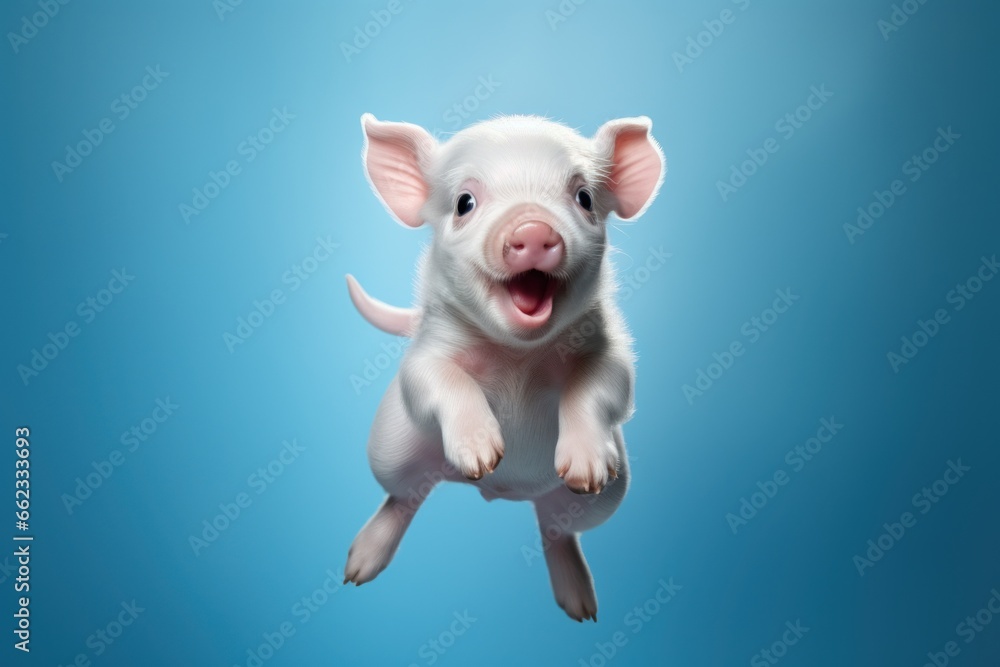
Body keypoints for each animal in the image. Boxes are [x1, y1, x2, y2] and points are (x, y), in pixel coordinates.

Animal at [343, 113, 665, 622]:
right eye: (465, 203)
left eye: (583, 198)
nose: (532, 228)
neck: (517, 355)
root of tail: (506, 494)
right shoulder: (427, 352)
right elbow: (437, 378)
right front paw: (481, 455)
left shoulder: (611, 351)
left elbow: (602, 383)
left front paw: (587, 471)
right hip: (389, 449)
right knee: (402, 495)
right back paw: (357, 569)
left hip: (610, 499)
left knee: (559, 529)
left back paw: (581, 605)